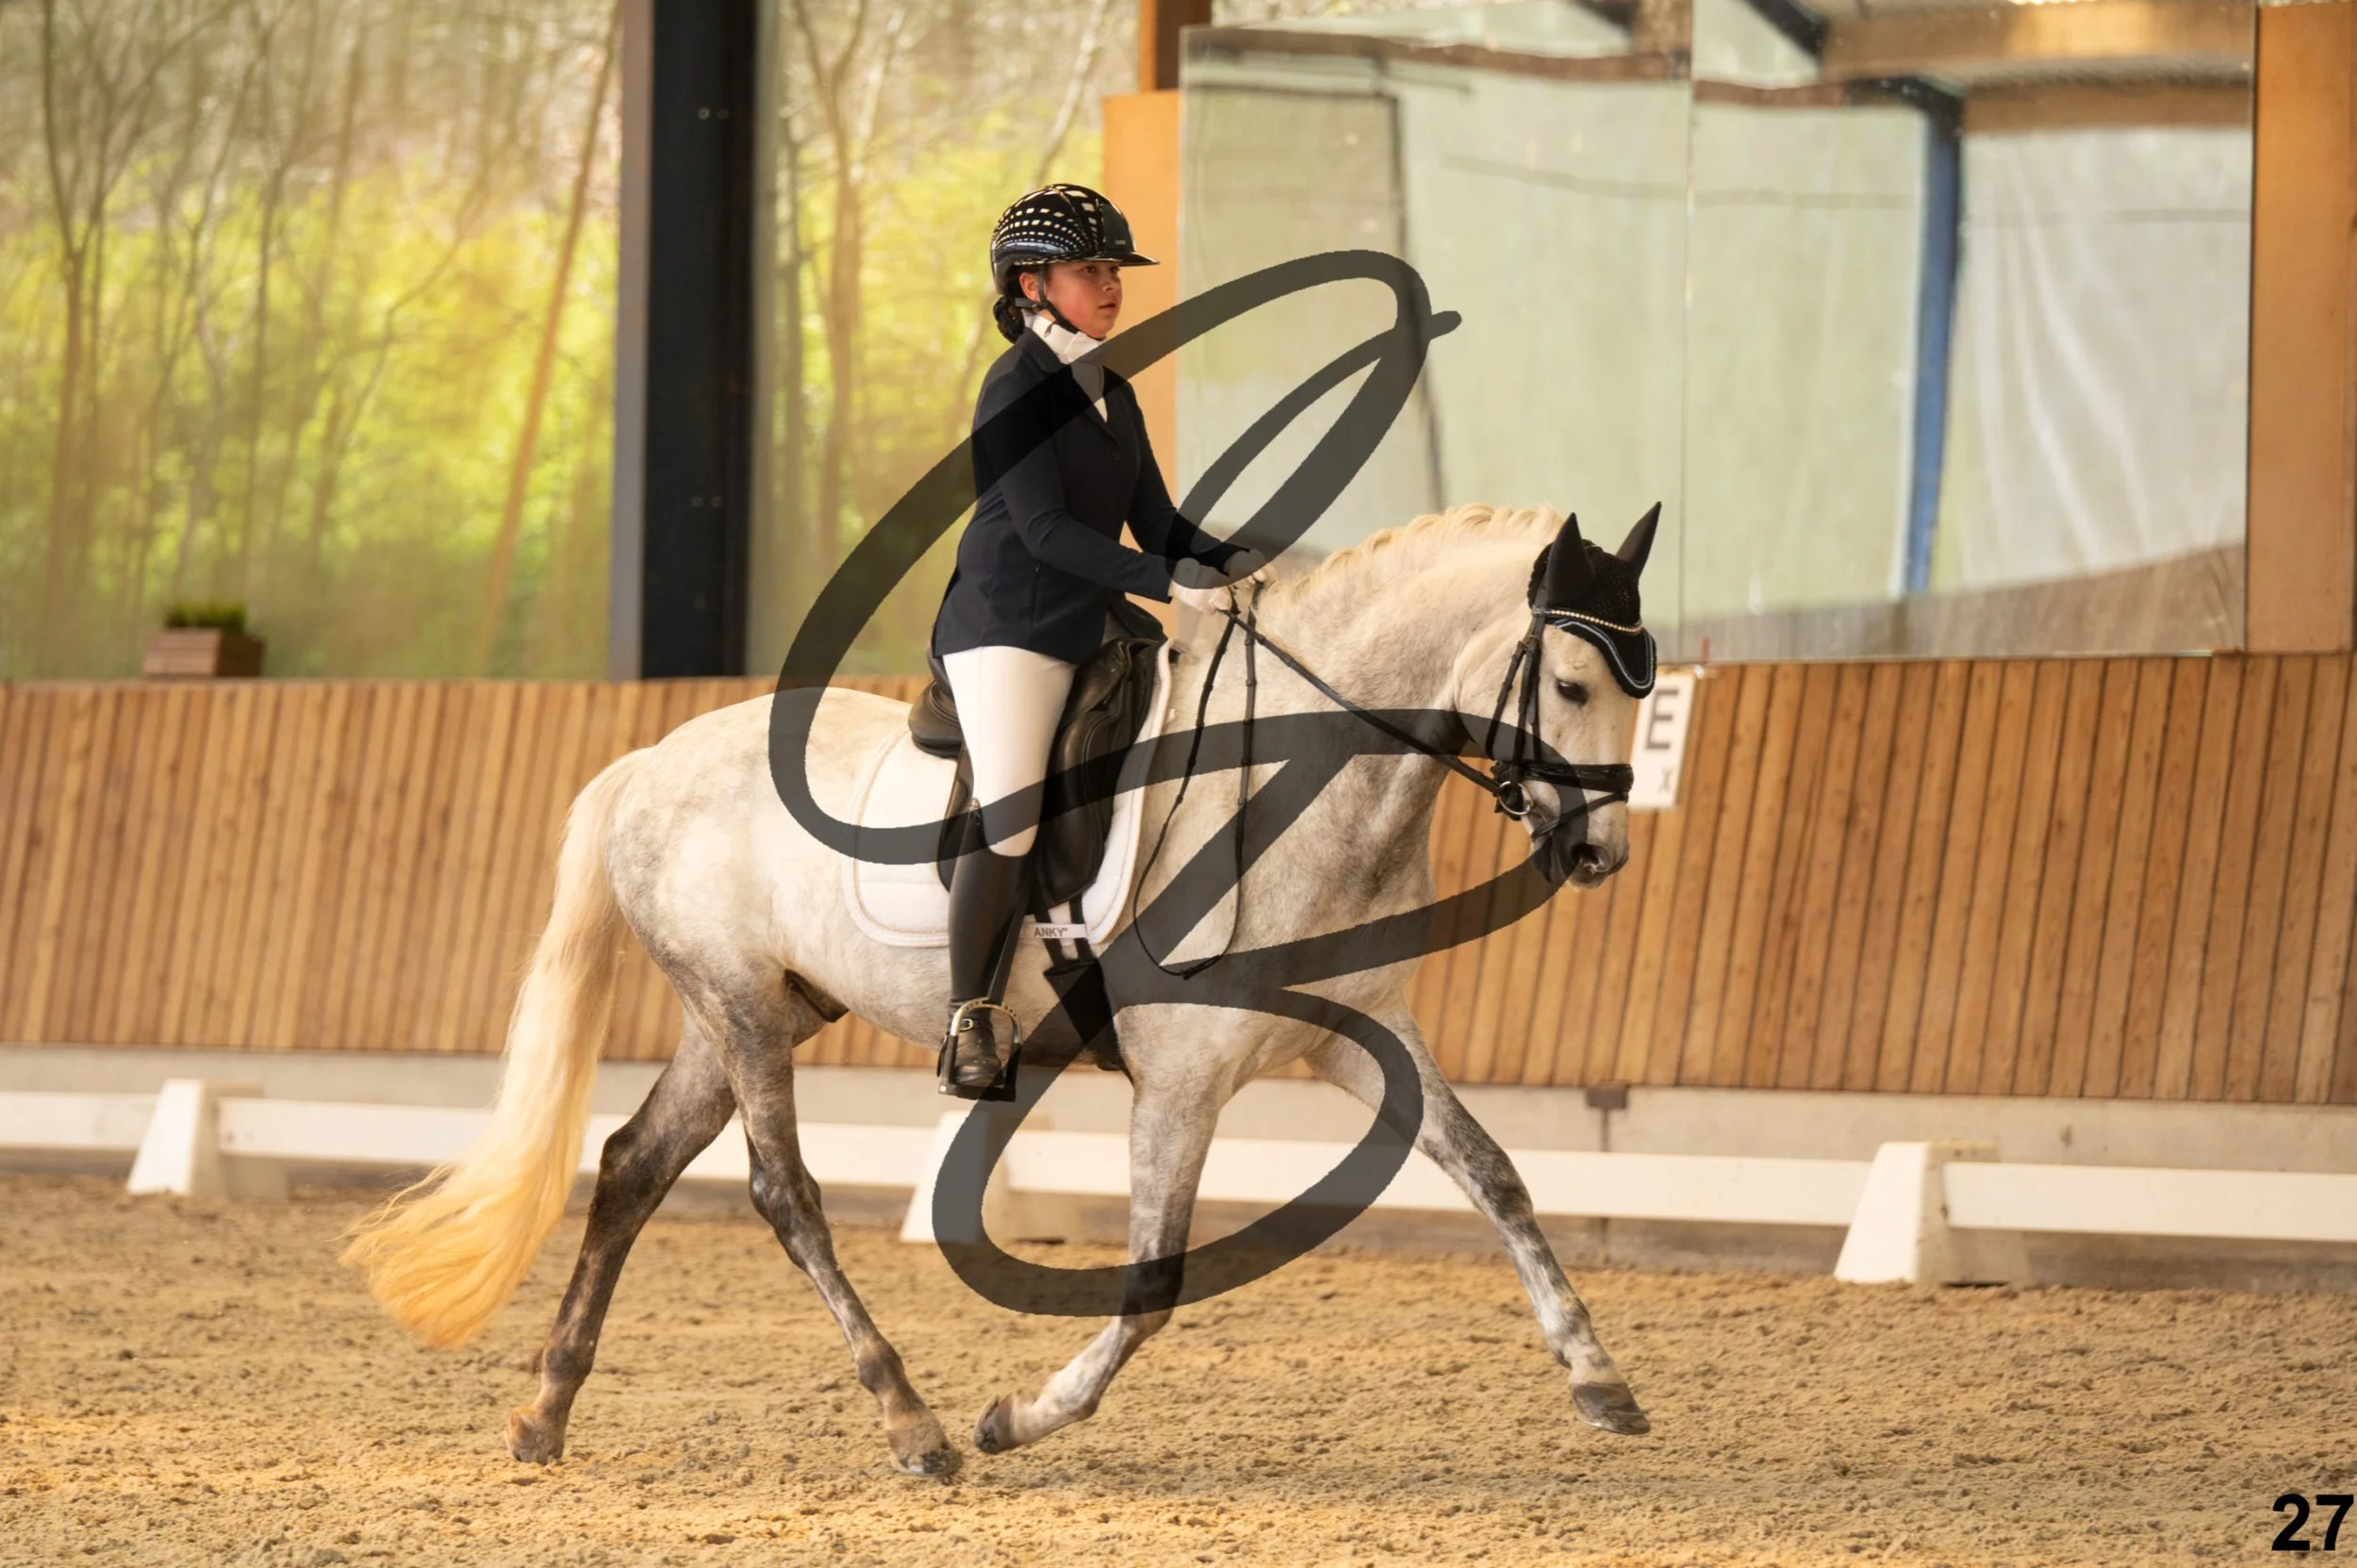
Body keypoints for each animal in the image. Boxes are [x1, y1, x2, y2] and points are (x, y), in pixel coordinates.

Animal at [341, 500, 1658, 1477]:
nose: (1600, 853)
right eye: (1575, 687)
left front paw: (1599, 1379)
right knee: (783, 1194)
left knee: (630, 1167)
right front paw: (1019, 1416)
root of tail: (652, 758)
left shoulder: (1361, 1031)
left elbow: (1495, 1172)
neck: (1297, 780)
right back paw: (912, 1421)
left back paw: (545, 1412)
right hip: (740, 1010)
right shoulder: (1181, 1080)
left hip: (739, 1012)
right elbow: (1153, 1280)